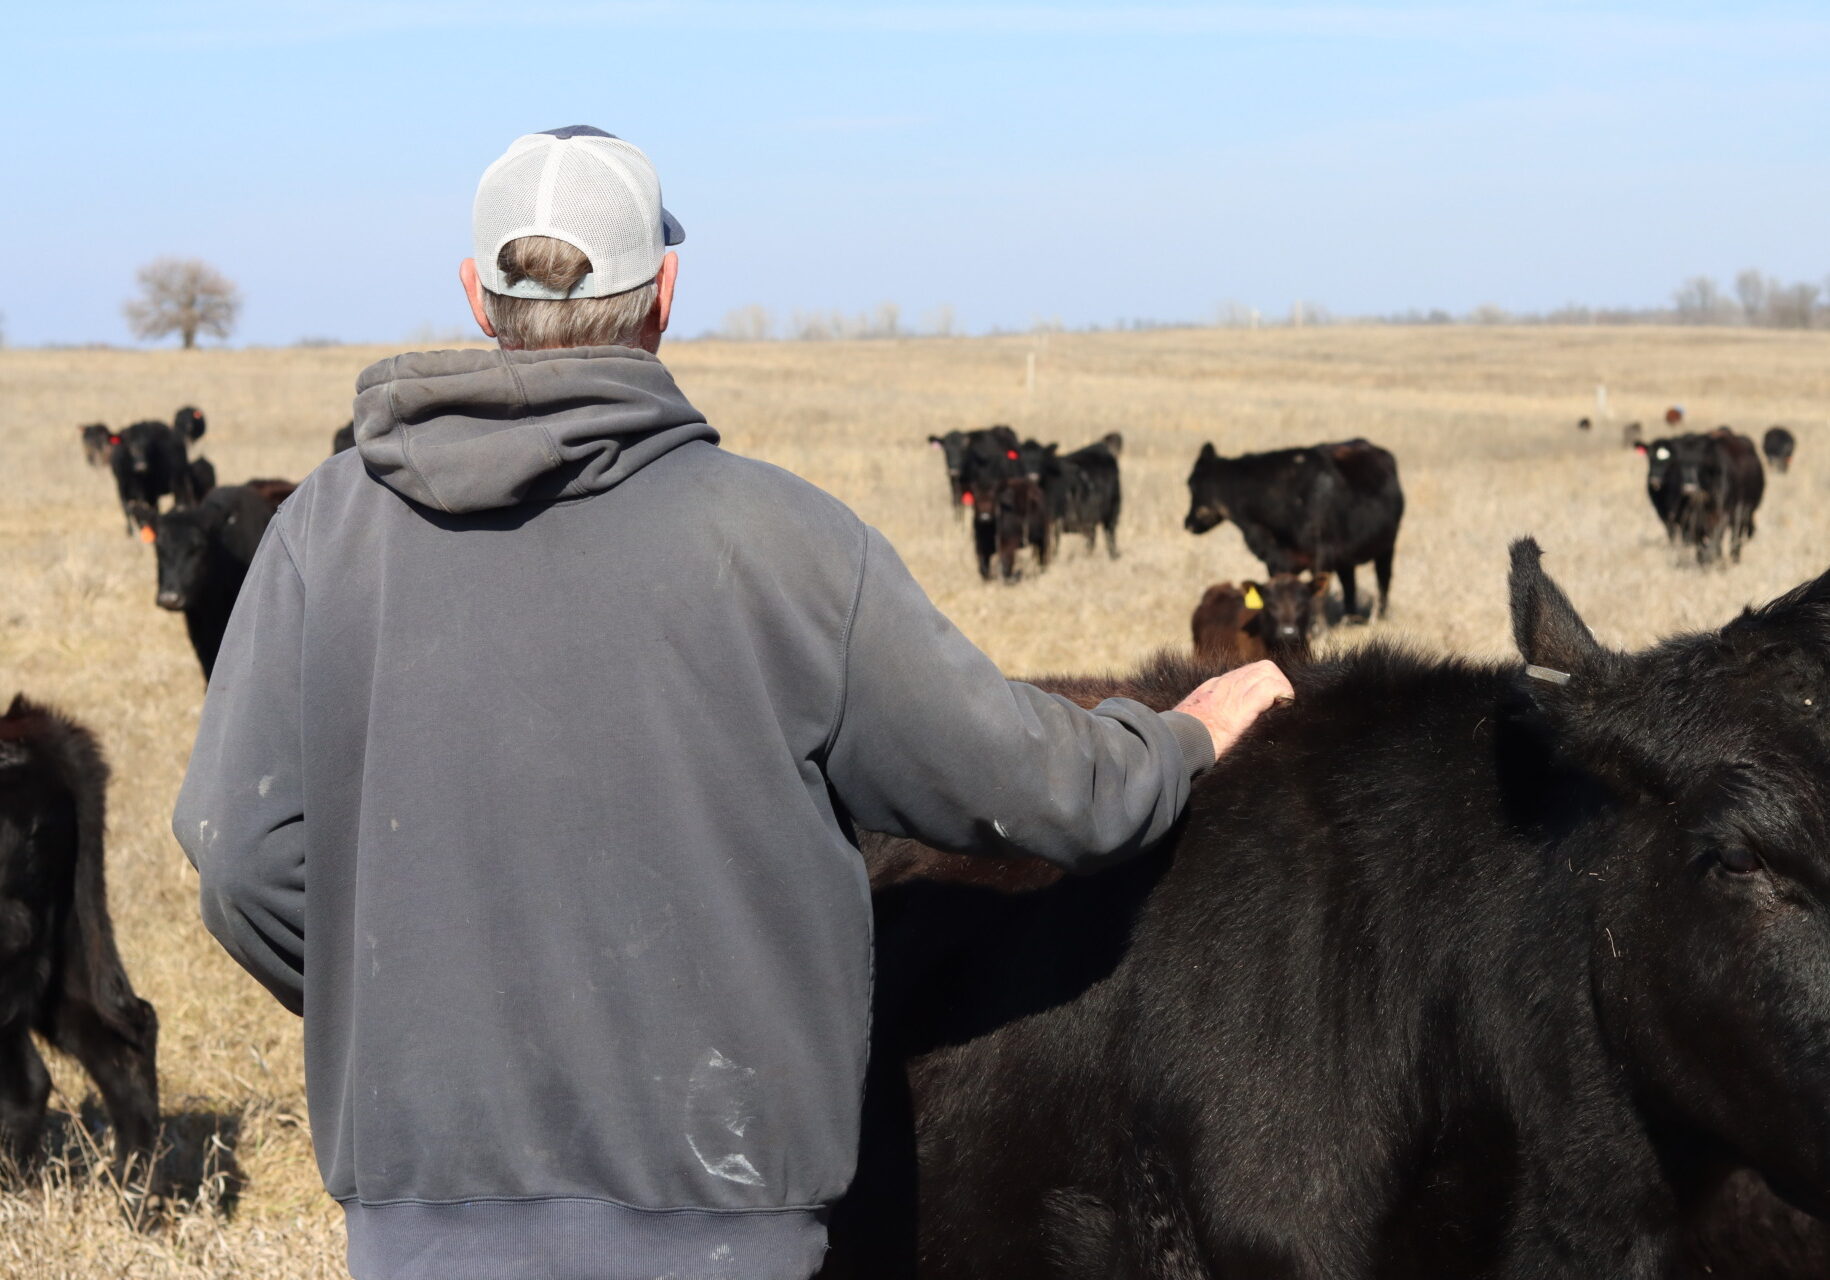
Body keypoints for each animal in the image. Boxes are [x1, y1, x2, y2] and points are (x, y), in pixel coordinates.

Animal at [1184, 438, 1403, 621]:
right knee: (1349, 583)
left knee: (1383, 579)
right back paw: (1350, 617)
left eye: (1192, 486)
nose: (1187, 523)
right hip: (1345, 557)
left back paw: (1379, 616)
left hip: (1387, 546)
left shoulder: (1322, 555)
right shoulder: (1274, 561)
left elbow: (1318, 596)